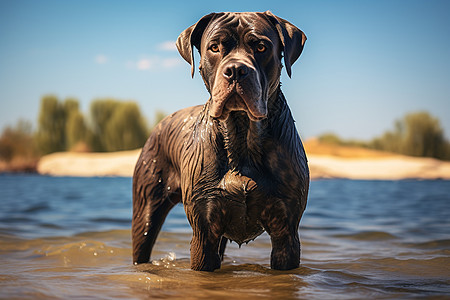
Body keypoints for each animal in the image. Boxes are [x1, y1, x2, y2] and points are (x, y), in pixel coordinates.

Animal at [133, 11, 310, 272]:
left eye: (261, 46)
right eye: (214, 47)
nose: (236, 70)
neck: (242, 133)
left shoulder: (286, 232)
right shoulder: (204, 231)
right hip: (146, 208)